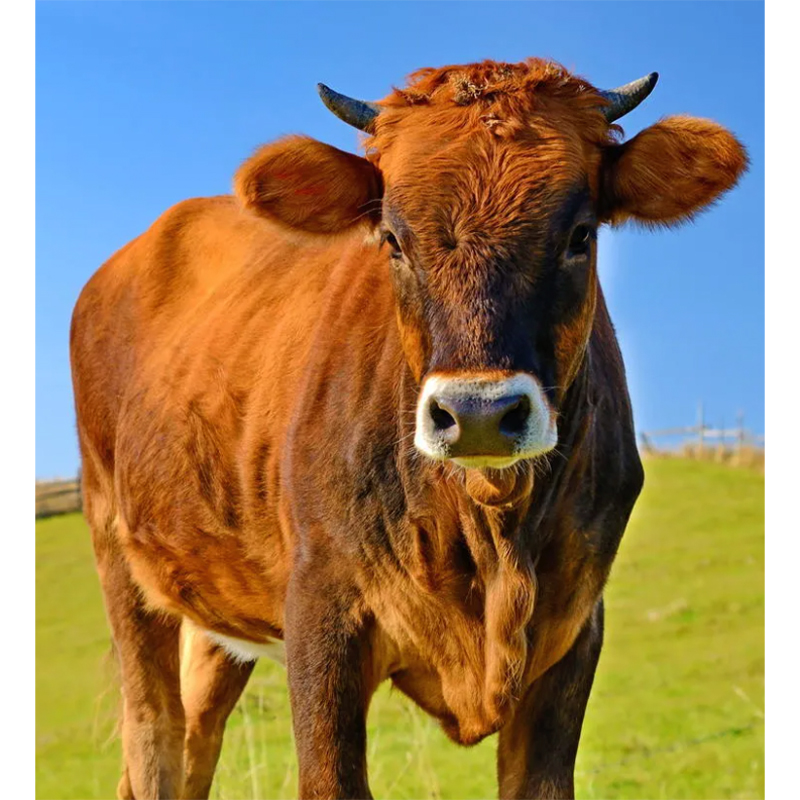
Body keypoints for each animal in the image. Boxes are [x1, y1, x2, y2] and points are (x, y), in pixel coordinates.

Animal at [70, 58, 747, 800]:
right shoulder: (320, 615)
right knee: (152, 737)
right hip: (119, 559)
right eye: (392, 239)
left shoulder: (574, 629)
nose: (479, 414)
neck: (491, 533)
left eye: (580, 234)